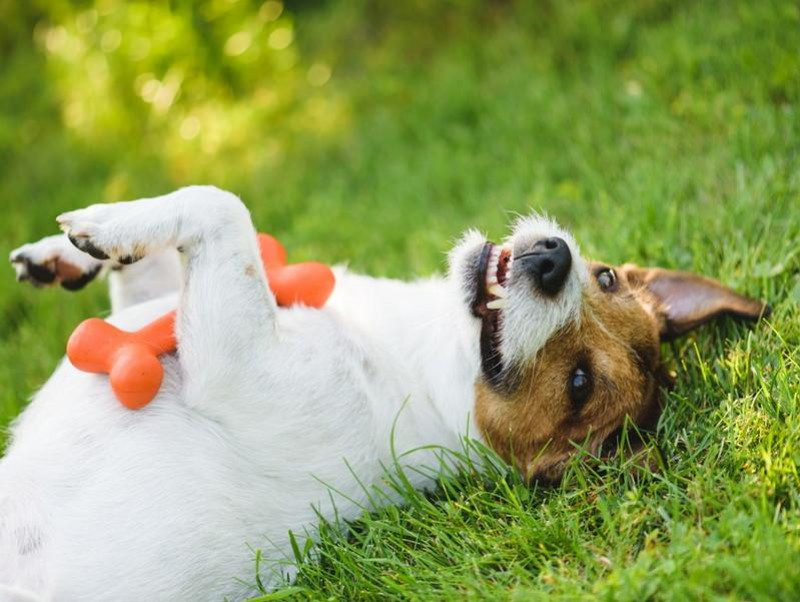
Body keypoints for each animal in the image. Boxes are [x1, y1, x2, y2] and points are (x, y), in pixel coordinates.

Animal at [0, 185, 768, 596]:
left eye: (580, 381)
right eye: (604, 276)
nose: (554, 258)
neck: (411, 359)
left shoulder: (230, 356)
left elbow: (223, 208)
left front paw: (104, 224)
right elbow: (150, 272)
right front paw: (65, 256)